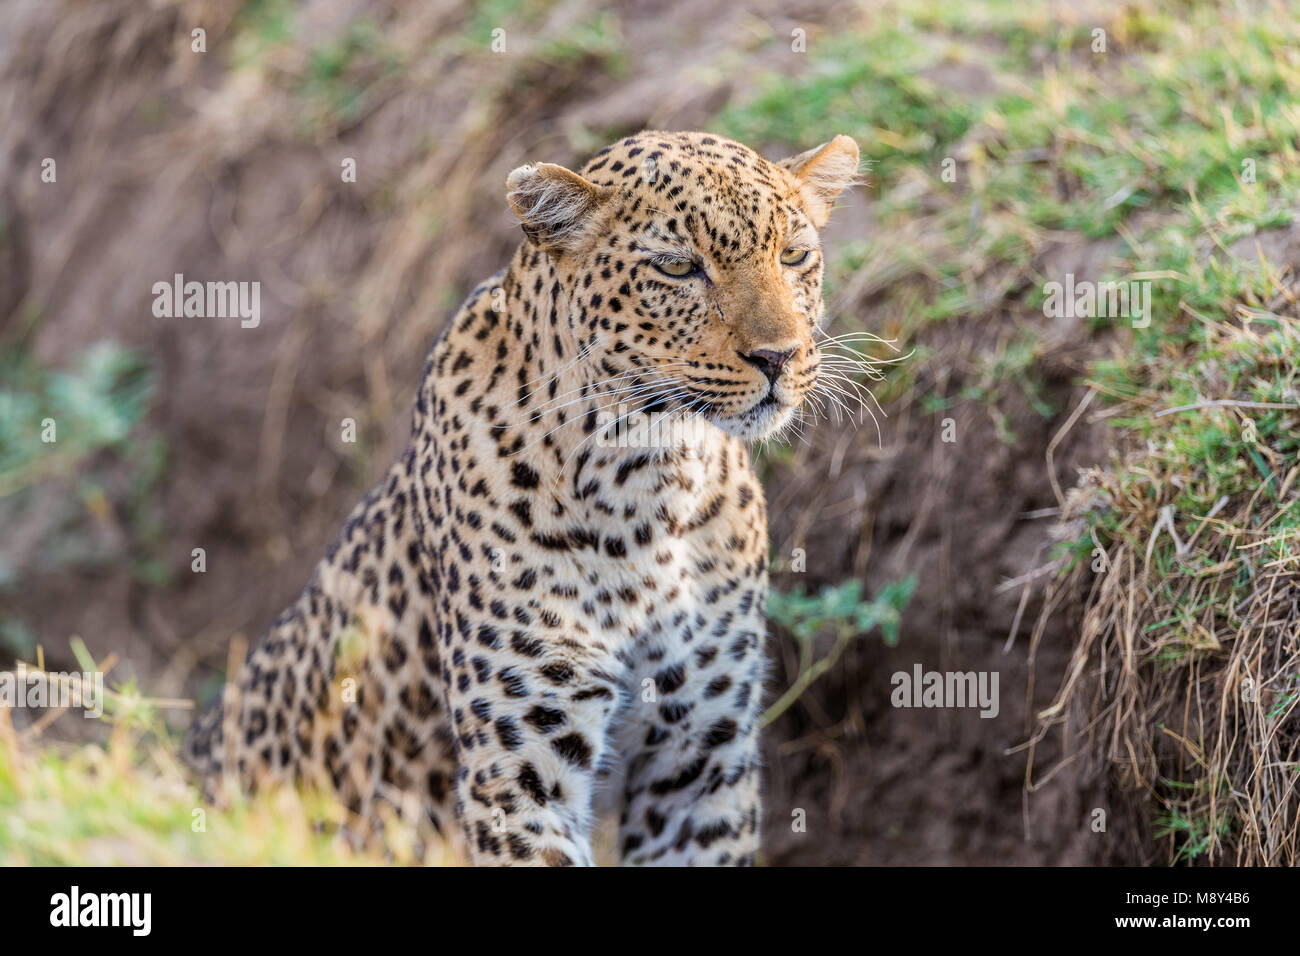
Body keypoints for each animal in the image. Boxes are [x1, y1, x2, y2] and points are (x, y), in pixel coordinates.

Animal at [178, 127, 857, 868]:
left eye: (794, 256)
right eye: (679, 268)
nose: (778, 357)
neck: (651, 482)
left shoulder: (701, 760)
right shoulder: (520, 771)